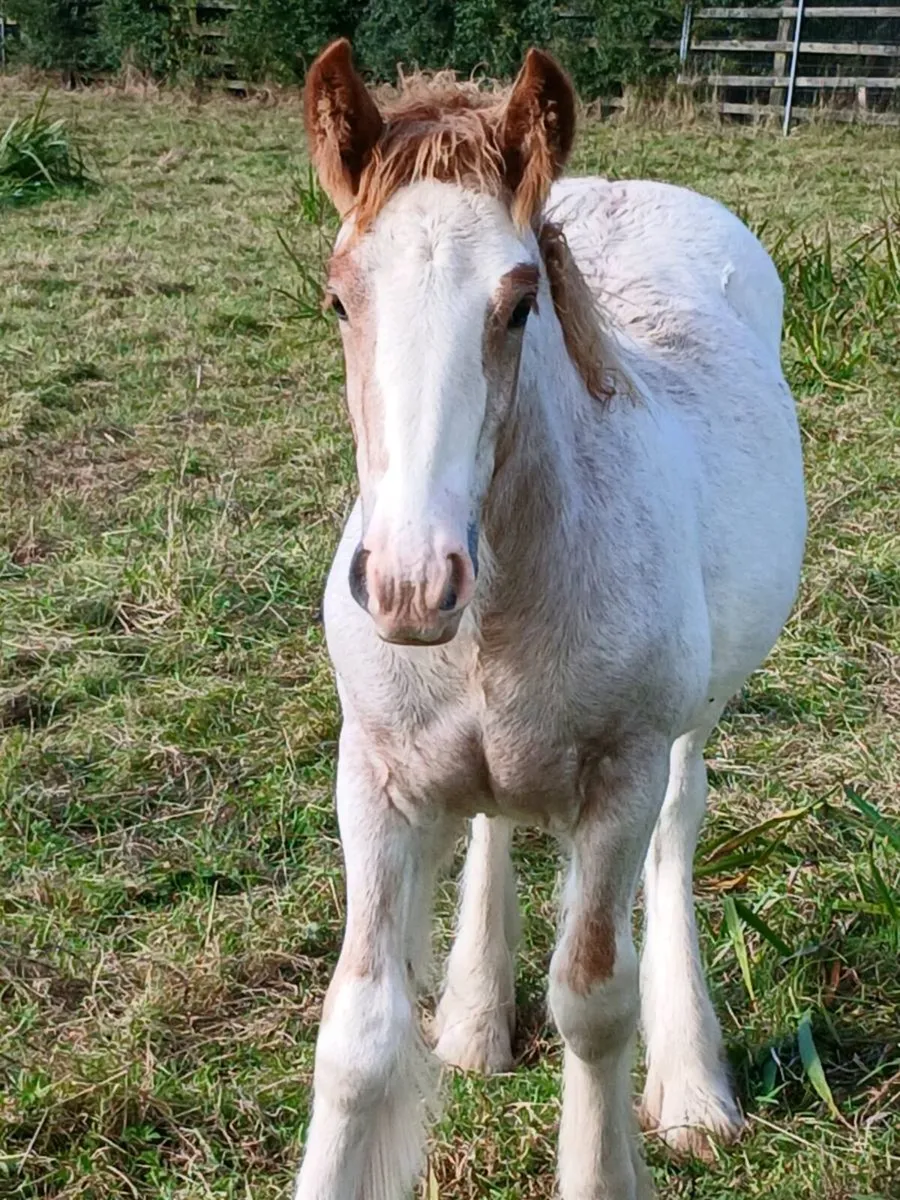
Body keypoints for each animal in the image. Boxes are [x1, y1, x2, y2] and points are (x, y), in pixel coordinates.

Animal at [293, 39, 807, 1200]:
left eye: (520, 303)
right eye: (340, 300)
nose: (409, 584)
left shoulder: (620, 773)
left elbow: (594, 1004)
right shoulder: (374, 775)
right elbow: (357, 1032)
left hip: (689, 721)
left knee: (677, 830)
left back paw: (693, 1083)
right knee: (494, 817)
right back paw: (476, 1018)